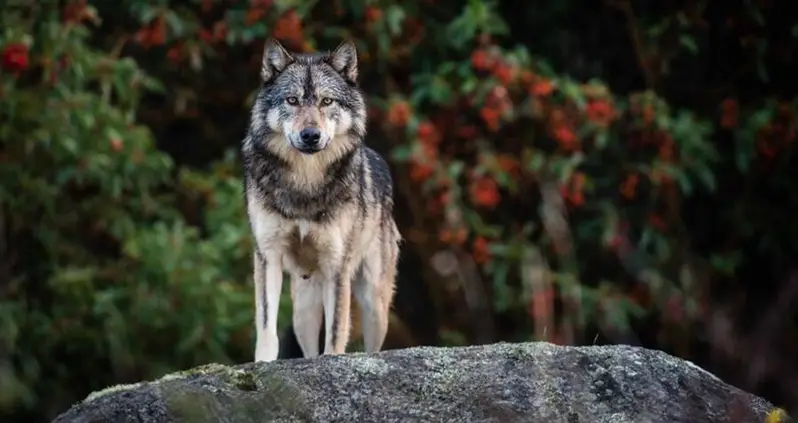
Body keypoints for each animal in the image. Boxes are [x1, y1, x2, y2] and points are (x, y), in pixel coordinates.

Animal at [240, 39, 401, 362]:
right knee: (308, 348)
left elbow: (337, 332)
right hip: (303, 312)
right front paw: (263, 364)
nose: (310, 135)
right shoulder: (267, 255)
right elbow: (266, 325)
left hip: (374, 304)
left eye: (327, 102)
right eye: (292, 100)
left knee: (372, 345)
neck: (306, 182)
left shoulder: (337, 265)